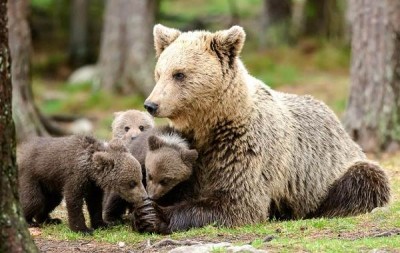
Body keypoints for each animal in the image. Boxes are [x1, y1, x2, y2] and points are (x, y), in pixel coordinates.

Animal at [18, 136, 147, 233]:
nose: (144, 196)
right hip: (32, 176)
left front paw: (102, 224)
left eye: (140, 178)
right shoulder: (75, 176)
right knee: (34, 200)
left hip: (50, 184)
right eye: (132, 183)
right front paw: (82, 229)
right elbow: (74, 201)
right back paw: (29, 221)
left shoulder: (93, 185)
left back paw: (49, 219)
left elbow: (95, 204)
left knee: (51, 201)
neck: (89, 169)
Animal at [138, 25, 390, 233]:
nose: (151, 104)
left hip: (331, 171)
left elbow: (237, 201)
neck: (213, 122)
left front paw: (154, 215)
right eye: (159, 73)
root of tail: (340, 127)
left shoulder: (244, 146)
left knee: (365, 179)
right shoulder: (192, 147)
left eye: (179, 74)